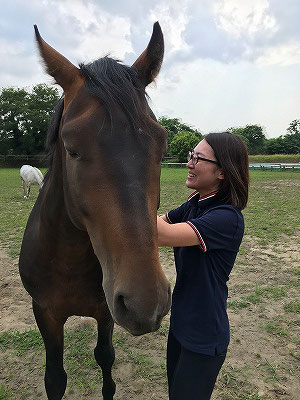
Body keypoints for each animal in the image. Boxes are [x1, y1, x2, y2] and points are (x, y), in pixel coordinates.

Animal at [19, 22, 171, 400]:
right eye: (71, 148)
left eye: (161, 145)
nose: (146, 302)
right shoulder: (45, 314)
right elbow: (55, 379)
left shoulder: (105, 312)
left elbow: (105, 360)